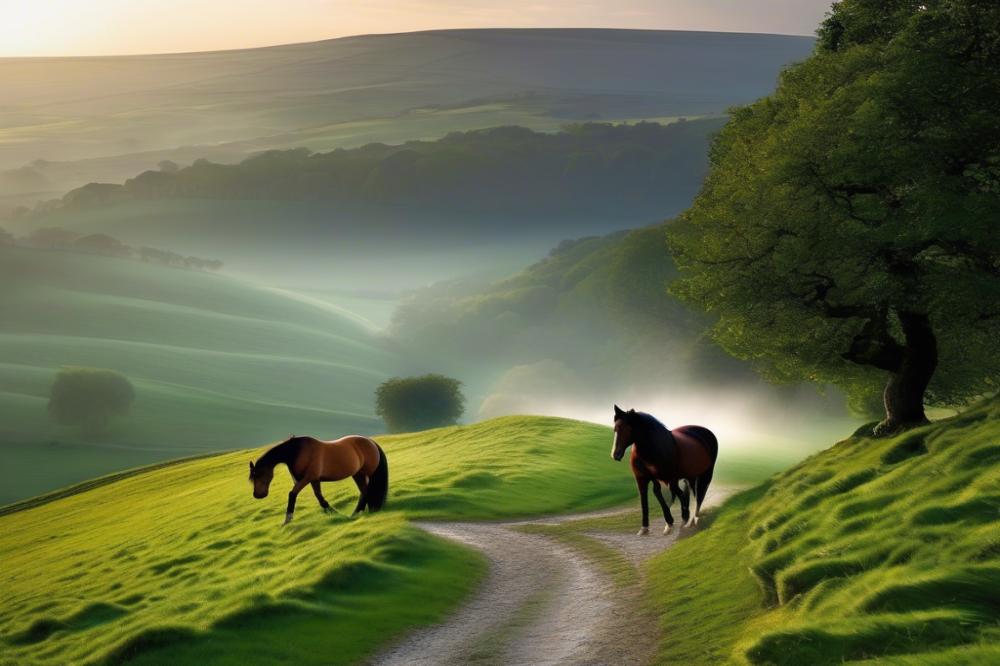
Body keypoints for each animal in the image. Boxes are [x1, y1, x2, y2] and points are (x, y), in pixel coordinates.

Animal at [248, 434, 388, 525]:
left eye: (258, 475)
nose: (257, 495)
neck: (297, 452)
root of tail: (371, 442)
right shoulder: (313, 480)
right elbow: (319, 497)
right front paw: (333, 512)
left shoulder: (308, 478)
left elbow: (292, 494)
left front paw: (287, 520)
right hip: (358, 474)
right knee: (364, 492)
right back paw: (356, 514)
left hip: (368, 473)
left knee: (367, 491)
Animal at [611, 405, 718, 536]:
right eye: (615, 429)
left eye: (626, 428)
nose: (615, 455)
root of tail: (708, 432)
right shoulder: (643, 478)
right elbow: (649, 495)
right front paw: (646, 527)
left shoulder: (670, 477)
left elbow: (676, 493)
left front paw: (678, 520)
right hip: (690, 476)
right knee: (691, 491)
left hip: (706, 473)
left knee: (699, 495)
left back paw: (693, 519)